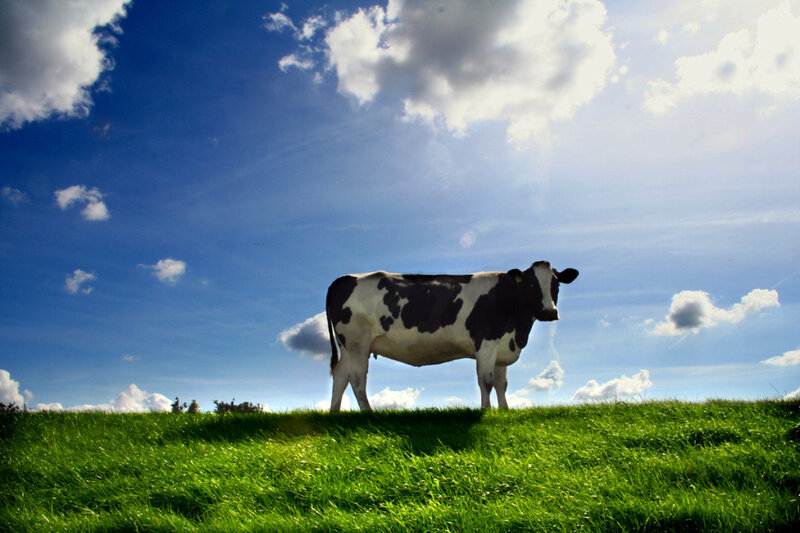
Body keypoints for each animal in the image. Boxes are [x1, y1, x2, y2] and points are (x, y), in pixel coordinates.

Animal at [325, 261, 578, 411]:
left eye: (555, 284)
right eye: (532, 285)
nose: (549, 312)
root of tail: (345, 278)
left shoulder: (503, 346)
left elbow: (501, 384)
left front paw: (504, 411)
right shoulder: (486, 342)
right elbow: (486, 381)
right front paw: (486, 411)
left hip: (347, 346)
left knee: (340, 376)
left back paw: (335, 413)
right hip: (357, 343)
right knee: (357, 379)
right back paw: (368, 413)